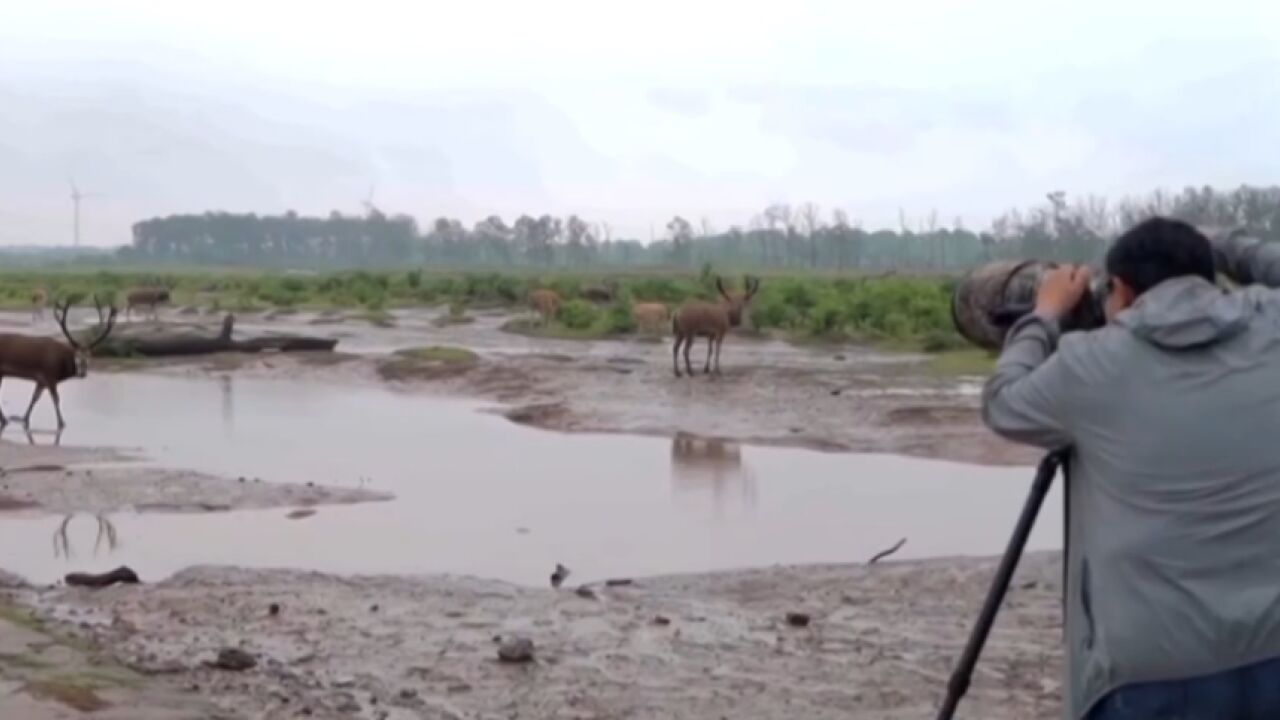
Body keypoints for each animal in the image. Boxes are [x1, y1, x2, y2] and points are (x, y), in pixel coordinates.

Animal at [0, 293, 117, 425]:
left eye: (89, 356)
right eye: (76, 355)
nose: (82, 373)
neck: (61, 368)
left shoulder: (41, 380)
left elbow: (35, 397)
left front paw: (24, 418)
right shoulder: (50, 375)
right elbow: (56, 399)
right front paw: (61, 422)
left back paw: (5, 419)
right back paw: (4, 419)